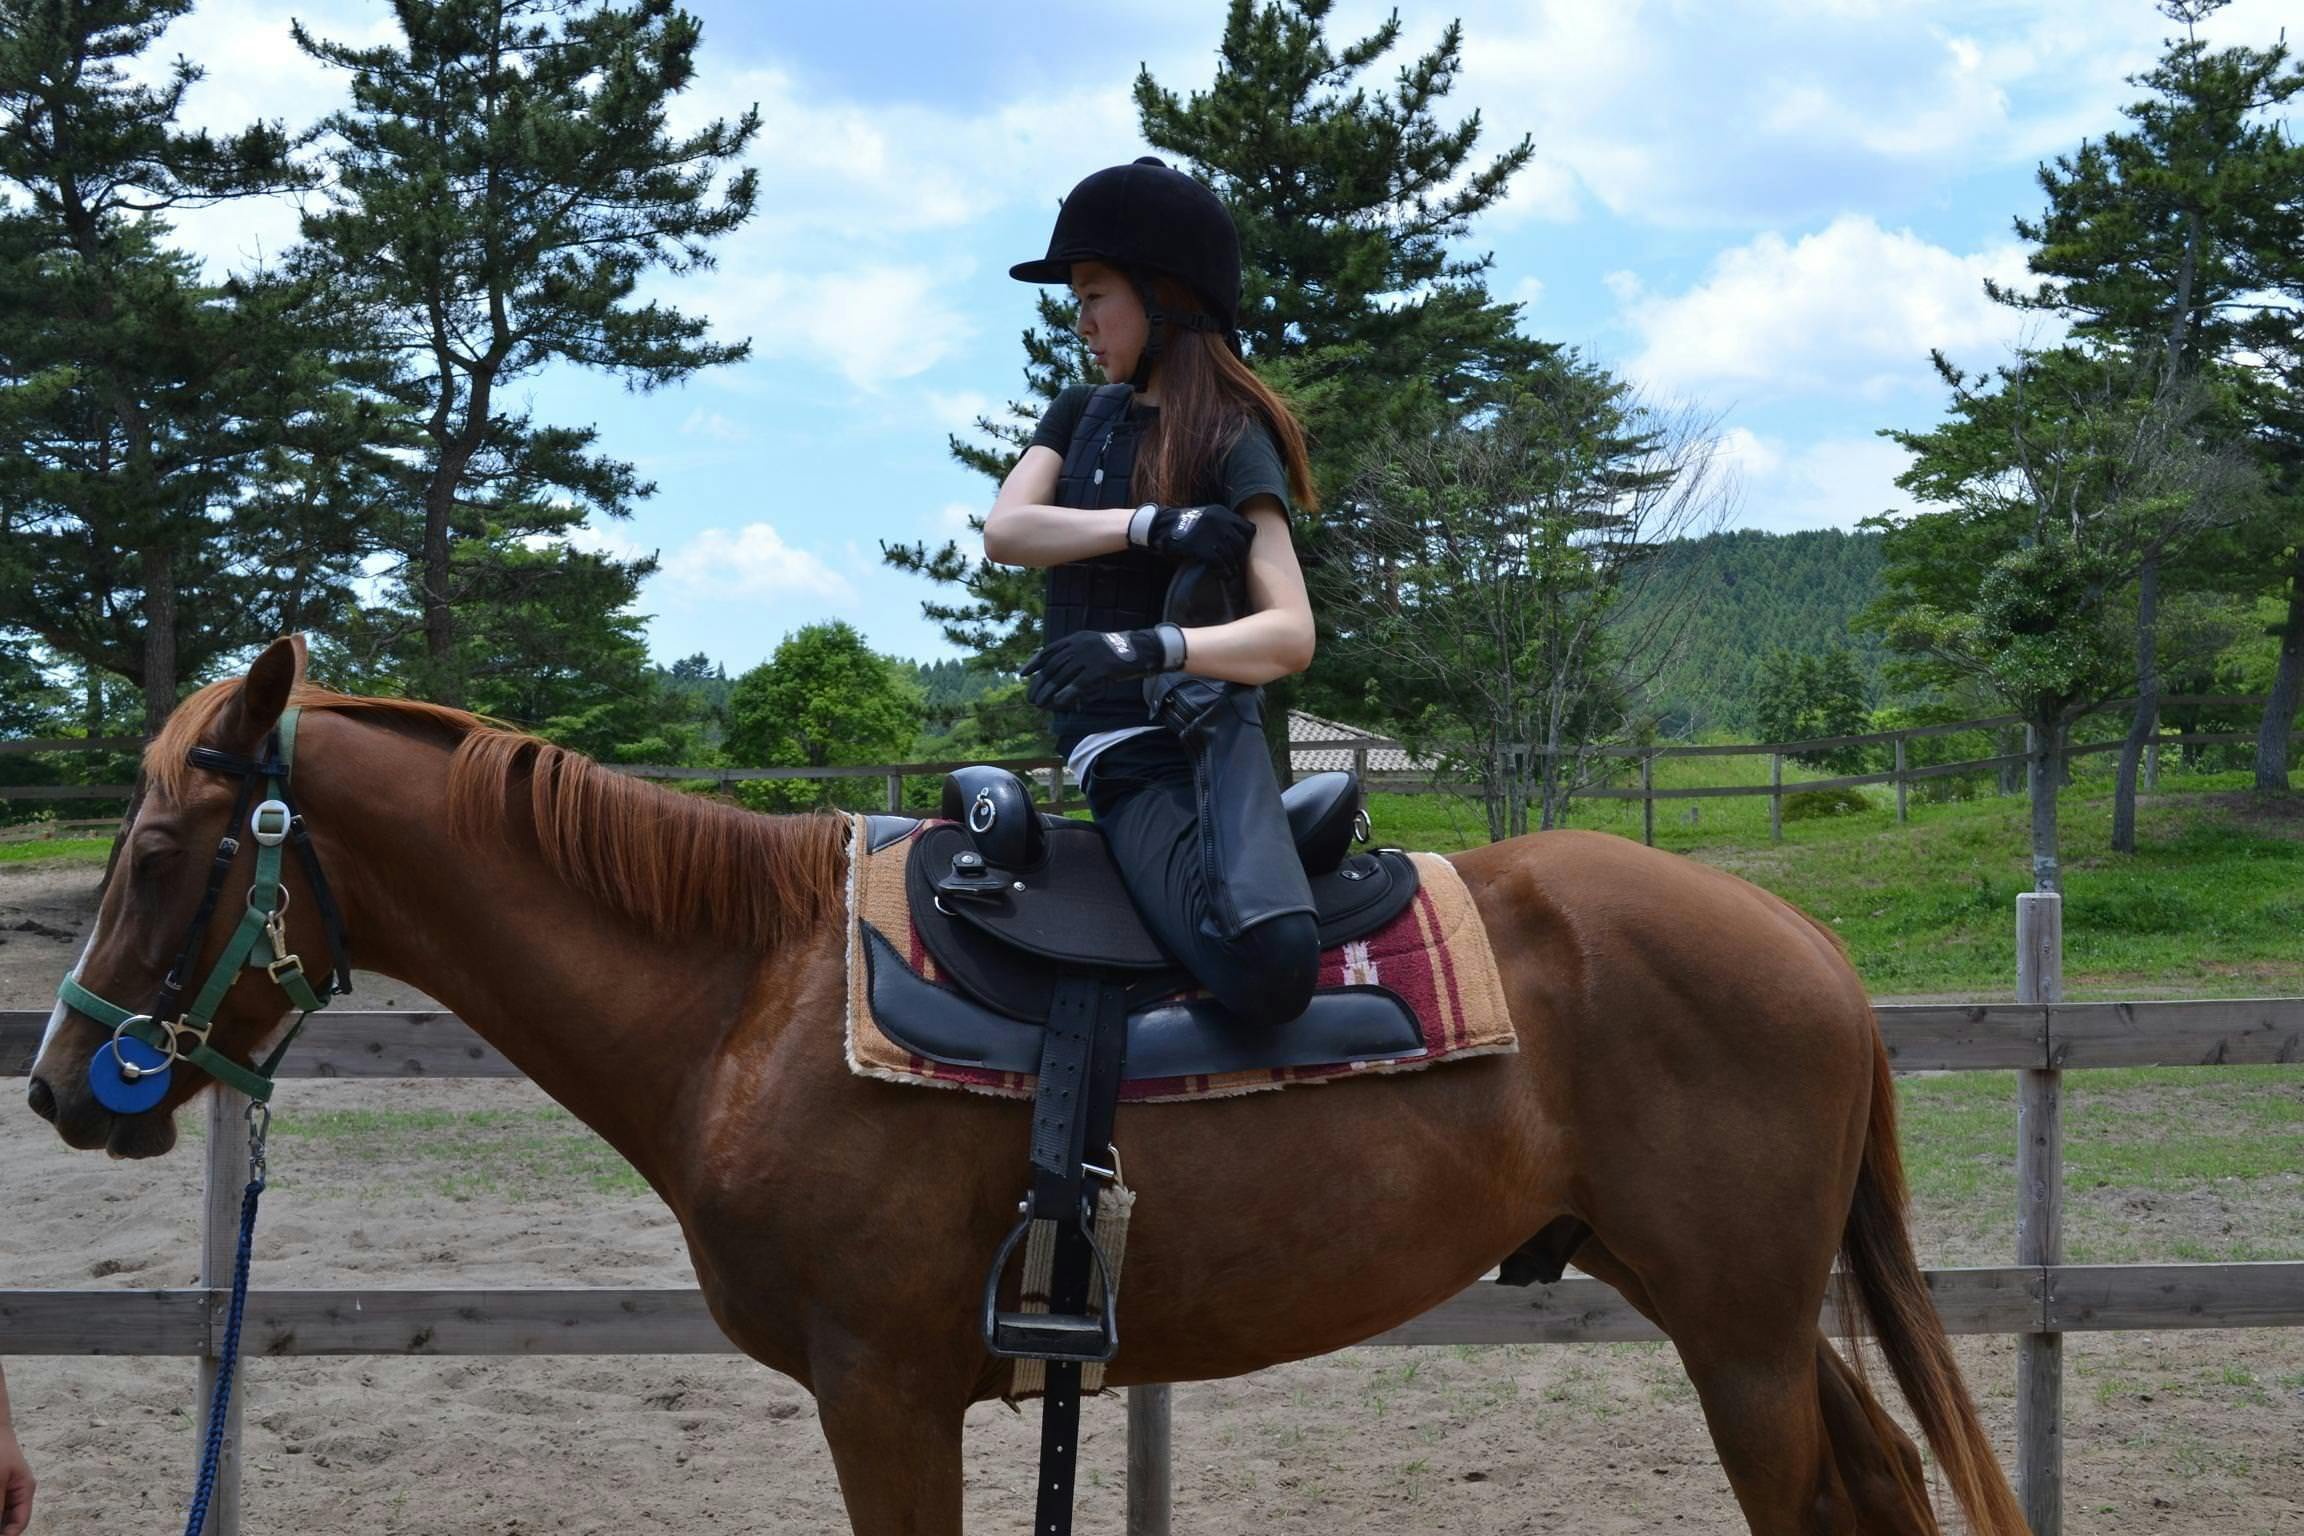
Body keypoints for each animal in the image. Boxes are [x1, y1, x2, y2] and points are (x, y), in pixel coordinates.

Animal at [26, 637, 2025, 1535]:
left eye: (160, 849)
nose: (61, 1086)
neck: (748, 1000)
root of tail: (1799, 944)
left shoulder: (884, 1391)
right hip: (1735, 1313)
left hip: (1738, 1330)